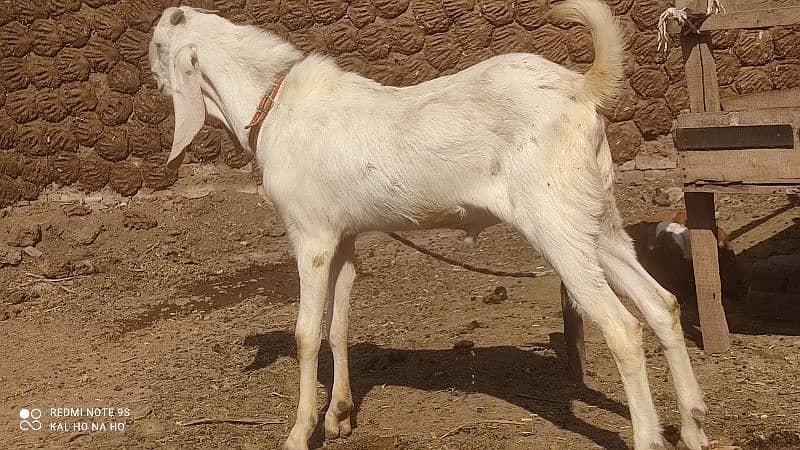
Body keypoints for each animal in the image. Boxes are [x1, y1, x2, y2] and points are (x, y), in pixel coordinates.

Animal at [152, 1, 712, 448]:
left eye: (158, 46)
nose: (150, 70)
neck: (274, 104)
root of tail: (579, 88)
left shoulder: (310, 236)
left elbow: (307, 333)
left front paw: (298, 432)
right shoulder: (344, 237)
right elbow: (339, 325)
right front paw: (339, 417)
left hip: (556, 224)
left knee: (623, 327)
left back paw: (650, 436)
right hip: (597, 220)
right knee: (662, 305)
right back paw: (693, 426)